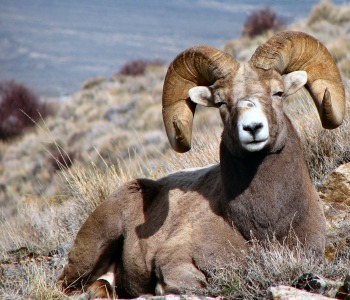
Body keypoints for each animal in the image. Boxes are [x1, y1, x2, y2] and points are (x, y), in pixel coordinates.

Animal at [57, 31, 344, 298]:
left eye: (278, 92)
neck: (264, 227)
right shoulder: (176, 261)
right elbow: (198, 284)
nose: (252, 128)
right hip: (94, 248)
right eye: (220, 102)